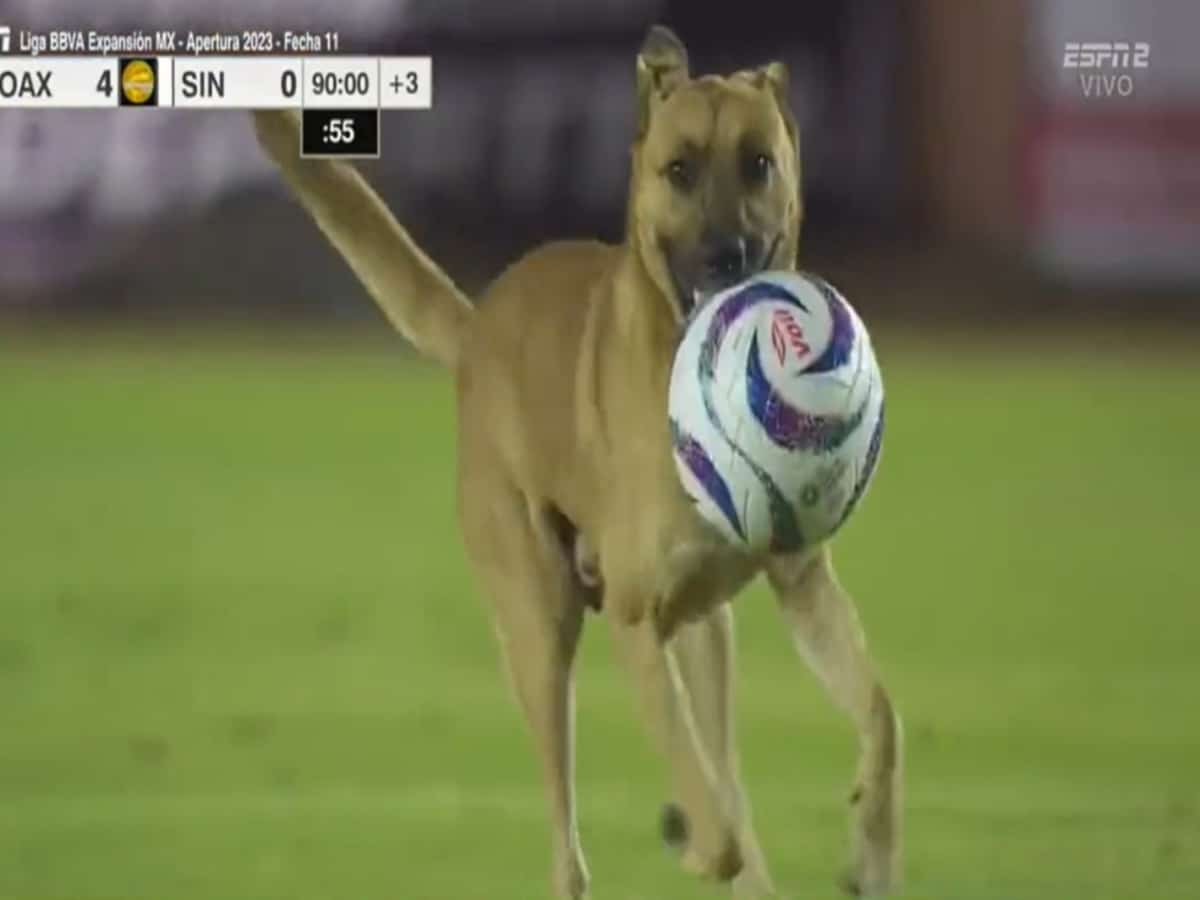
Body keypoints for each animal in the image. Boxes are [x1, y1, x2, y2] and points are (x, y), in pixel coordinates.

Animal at [250, 24, 902, 897]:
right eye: (679, 169)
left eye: (759, 162)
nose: (727, 257)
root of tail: (479, 330)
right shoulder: (634, 625)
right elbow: (711, 815)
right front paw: (692, 838)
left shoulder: (800, 588)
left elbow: (879, 717)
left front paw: (871, 849)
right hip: (540, 633)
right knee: (574, 837)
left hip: (704, 638)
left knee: (728, 772)